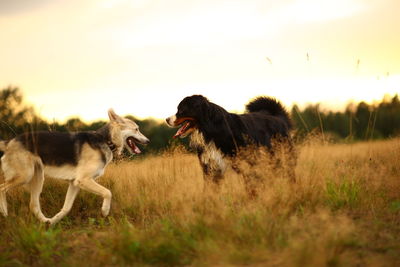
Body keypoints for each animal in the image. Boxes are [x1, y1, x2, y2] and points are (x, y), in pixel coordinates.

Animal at [0, 109, 149, 224]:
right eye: (136, 129)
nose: (148, 141)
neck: (106, 140)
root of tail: (10, 142)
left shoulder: (75, 183)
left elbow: (66, 208)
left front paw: (54, 221)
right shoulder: (84, 180)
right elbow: (108, 192)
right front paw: (105, 211)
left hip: (37, 177)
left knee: (33, 205)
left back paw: (46, 222)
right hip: (25, 176)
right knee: (2, 188)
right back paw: (5, 213)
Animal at [167, 95, 296, 185]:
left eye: (181, 110)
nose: (167, 119)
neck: (210, 130)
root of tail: (278, 117)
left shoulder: (245, 164)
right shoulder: (211, 168)